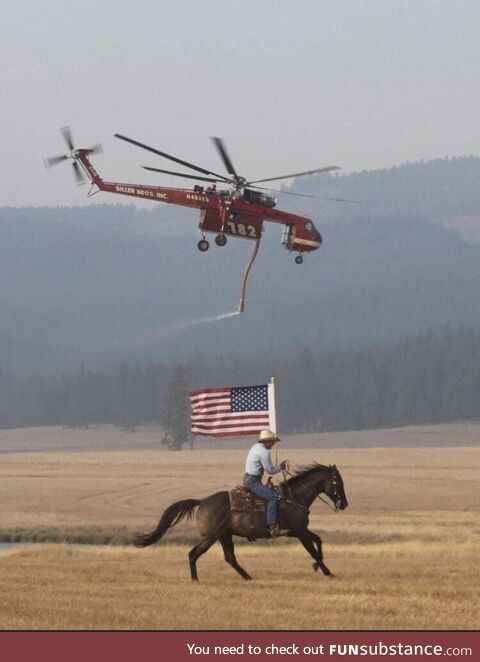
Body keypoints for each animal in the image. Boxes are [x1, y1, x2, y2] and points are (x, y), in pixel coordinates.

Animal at [133, 464, 346, 584]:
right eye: (339, 483)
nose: (344, 504)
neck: (294, 498)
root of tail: (202, 501)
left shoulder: (296, 531)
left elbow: (318, 541)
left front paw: (317, 567)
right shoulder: (300, 531)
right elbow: (313, 549)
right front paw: (326, 571)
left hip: (225, 536)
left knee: (230, 558)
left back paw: (247, 577)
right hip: (212, 537)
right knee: (194, 553)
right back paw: (195, 579)